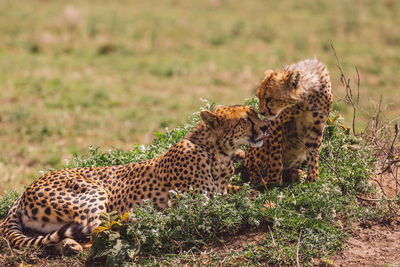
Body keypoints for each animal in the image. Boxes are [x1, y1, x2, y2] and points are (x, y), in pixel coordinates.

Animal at [1, 105, 268, 255]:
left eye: (255, 114)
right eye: (245, 119)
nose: (266, 127)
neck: (217, 153)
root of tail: (24, 191)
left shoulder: (220, 191)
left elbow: (246, 192)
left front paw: (264, 197)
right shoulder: (198, 204)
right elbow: (237, 204)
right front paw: (267, 205)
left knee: (60, 238)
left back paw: (68, 246)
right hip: (94, 193)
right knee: (96, 231)